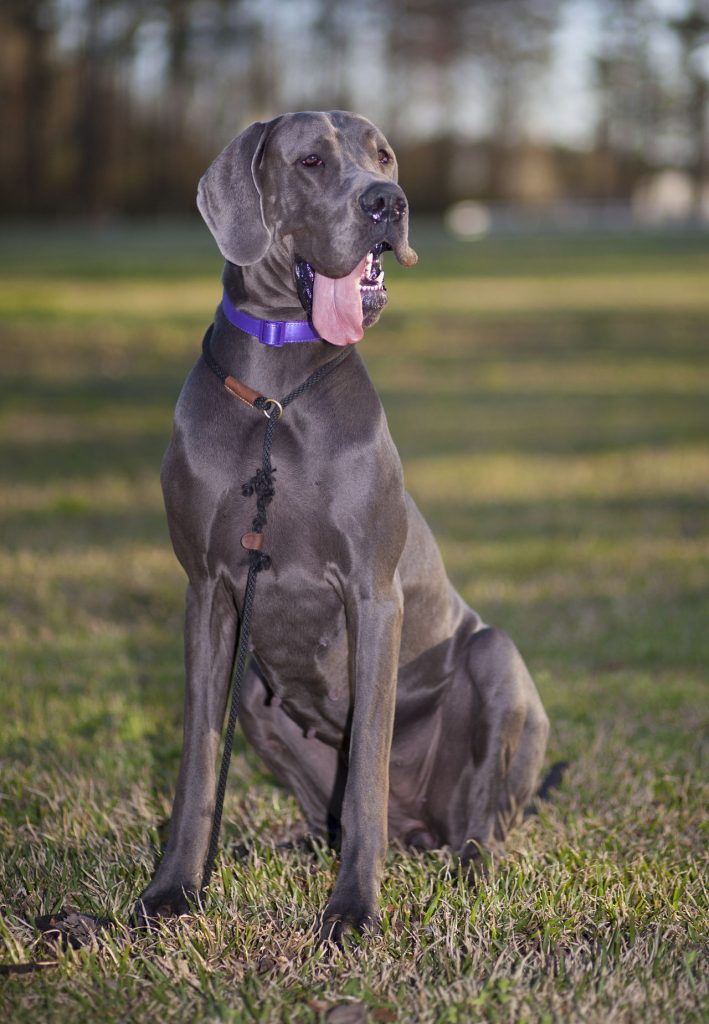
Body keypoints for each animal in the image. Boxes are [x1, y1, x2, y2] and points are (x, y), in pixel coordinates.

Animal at [135, 112, 549, 942]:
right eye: (311, 162)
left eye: (383, 155)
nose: (387, 202)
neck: (276, 392)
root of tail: (419, 827)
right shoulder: (208, 591)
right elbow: (197, 761)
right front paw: (173, 890)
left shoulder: (373, 592)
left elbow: (364, 776)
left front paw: (352, 909)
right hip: (255, 694)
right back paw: (294, 842)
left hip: (495, 661)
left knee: (481, 814)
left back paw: (468, 863)